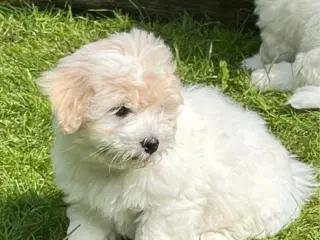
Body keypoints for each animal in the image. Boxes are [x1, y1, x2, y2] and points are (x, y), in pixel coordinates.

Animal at [37, 28, 316, 240]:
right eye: (121, 110)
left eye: (162, 109)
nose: (152, 143)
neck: (116, 170)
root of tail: (294, 175)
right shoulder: (88, 205)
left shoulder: (168, 209)